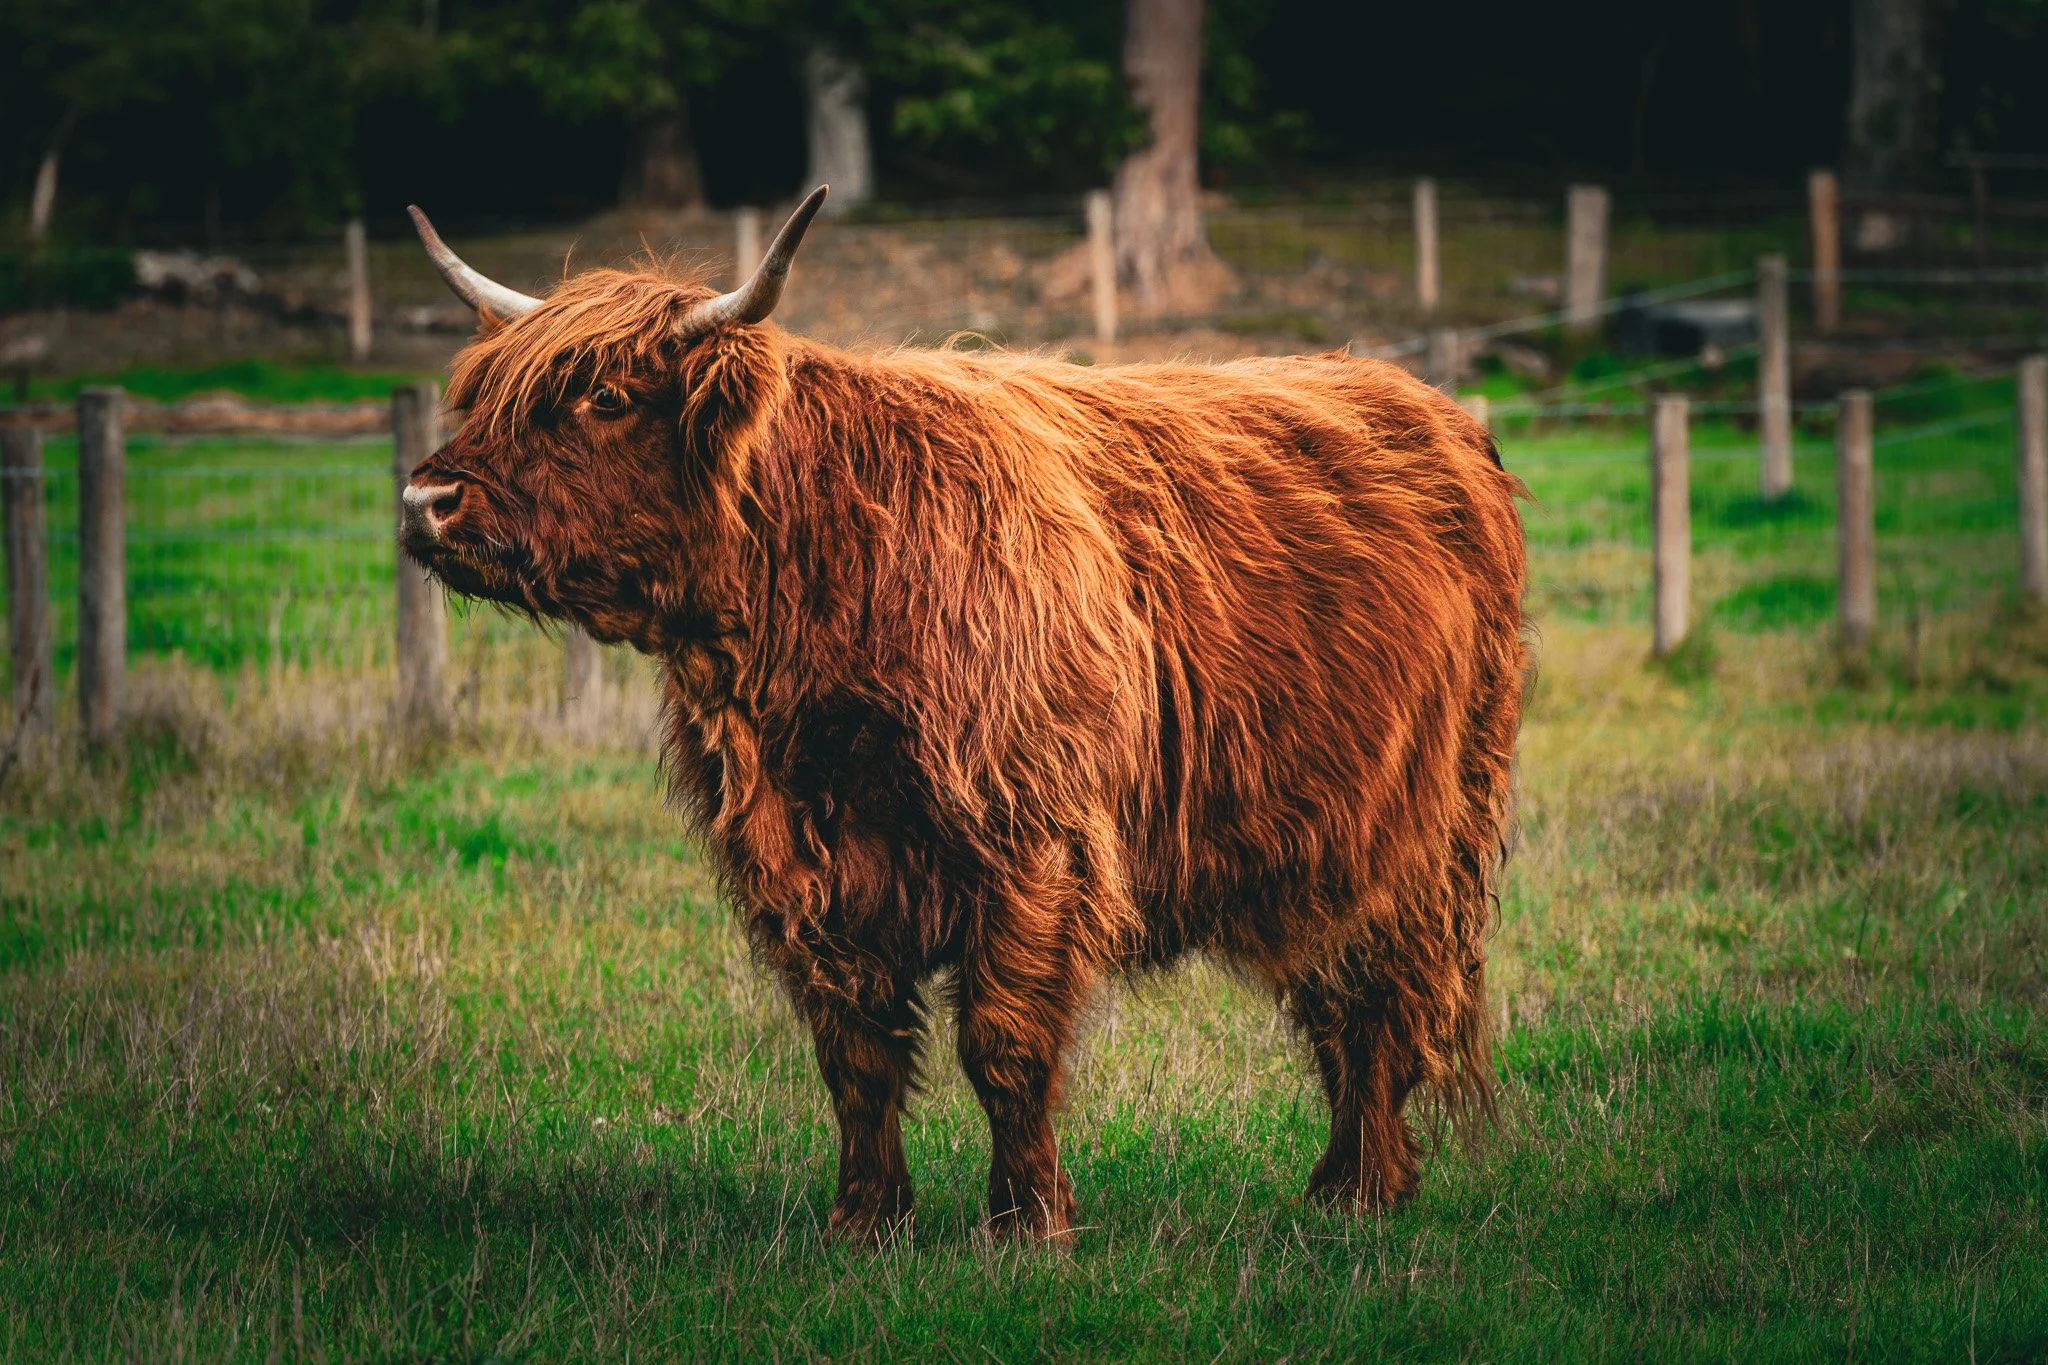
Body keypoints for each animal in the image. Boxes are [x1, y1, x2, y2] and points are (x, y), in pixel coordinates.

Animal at [399, 187, 1527, 1243]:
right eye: (481, 394)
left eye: (603, 395)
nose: (424, 502)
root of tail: (1428, 407)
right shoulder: (804, 868)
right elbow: (853, 1055)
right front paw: (865, 1221)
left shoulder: (1033, 842)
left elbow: (1002, 1044)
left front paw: (1030, 1223)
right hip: (1326, 841)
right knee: (1338, 999)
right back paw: (1339, 1184)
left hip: (1426, 834)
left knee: (1383, 998)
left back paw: (1364, 1190)